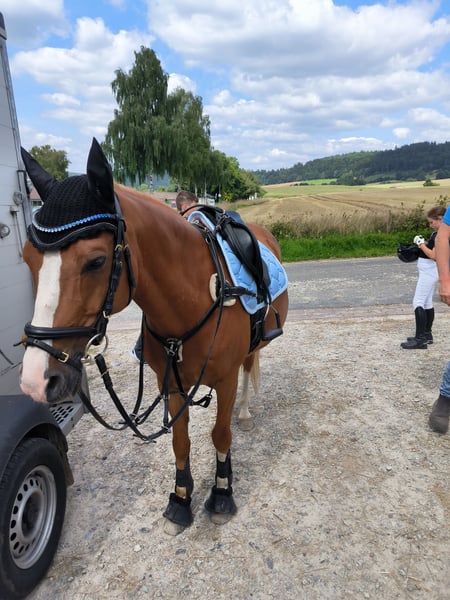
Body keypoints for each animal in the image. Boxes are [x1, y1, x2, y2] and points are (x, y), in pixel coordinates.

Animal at [18, 138, 289, 533]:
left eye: (96, 261)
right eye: (28, 259)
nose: (36, 380)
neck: (194, 298)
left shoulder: (223, 380)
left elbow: (220, 434)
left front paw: (222, 493)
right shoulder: (171, 384)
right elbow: (180, 441)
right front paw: (180, 499)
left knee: (248, 367)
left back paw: (244, 411)